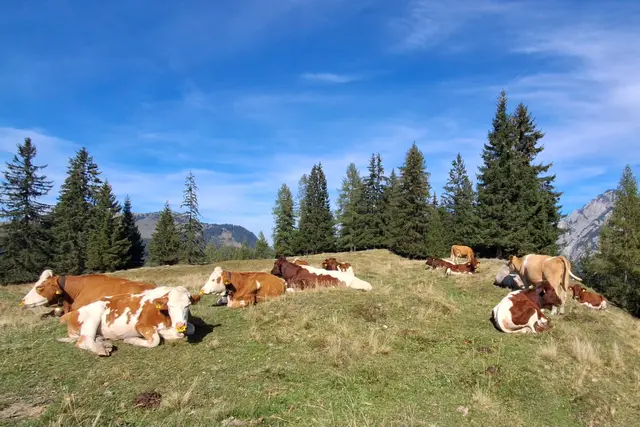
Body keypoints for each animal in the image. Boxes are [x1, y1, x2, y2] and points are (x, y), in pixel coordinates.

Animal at [58, 286, 200, 356]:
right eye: (170, 306)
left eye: (187, 305)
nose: (180, 325)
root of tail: (71, 314)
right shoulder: (141, 325)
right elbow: (155, 340)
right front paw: (131, 340)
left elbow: (192, 329)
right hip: (93, 315)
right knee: (83, 340)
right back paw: (101, 349)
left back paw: (105, 343)